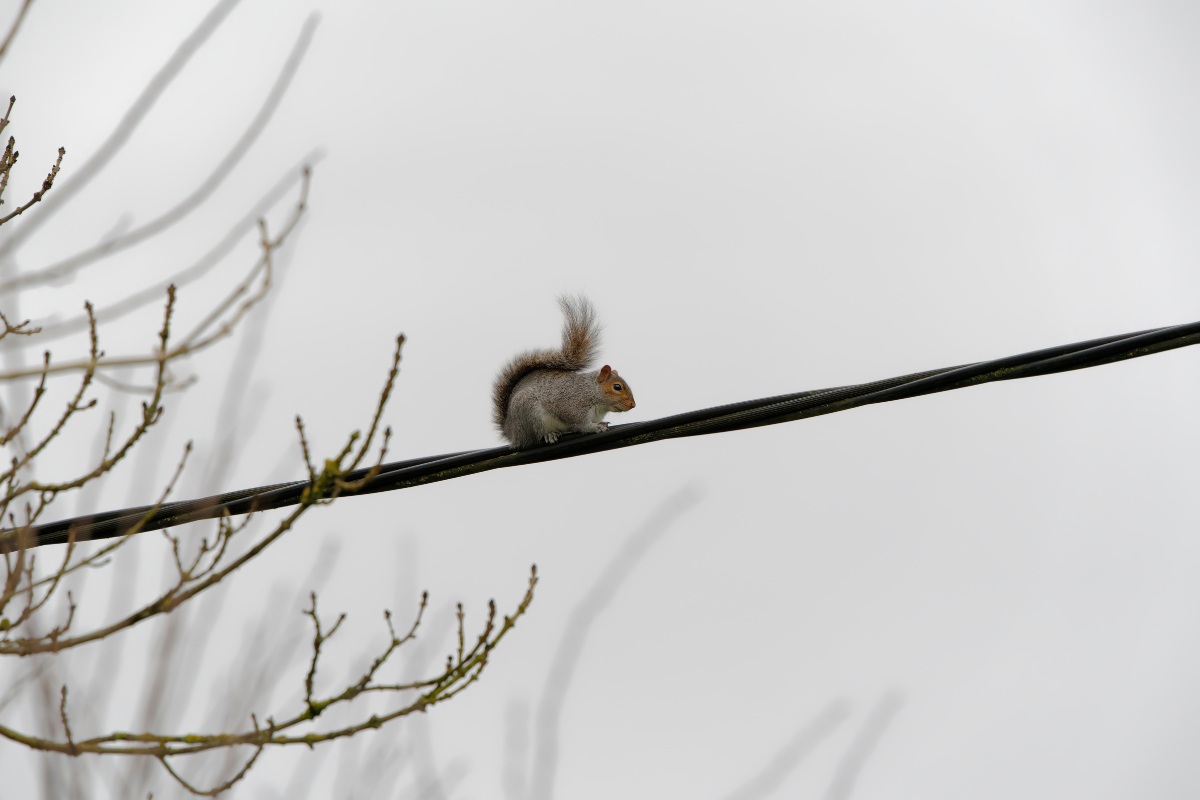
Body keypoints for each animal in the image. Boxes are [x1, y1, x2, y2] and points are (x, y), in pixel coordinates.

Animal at [489, 296, 638, 450]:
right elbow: (582, 425)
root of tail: (511, 432)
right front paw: (596, 427)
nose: (633, 405)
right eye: (617, 387)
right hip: (529, 413)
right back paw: (549, 435)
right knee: (534, 437)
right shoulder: (572, 407)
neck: (592, 391)